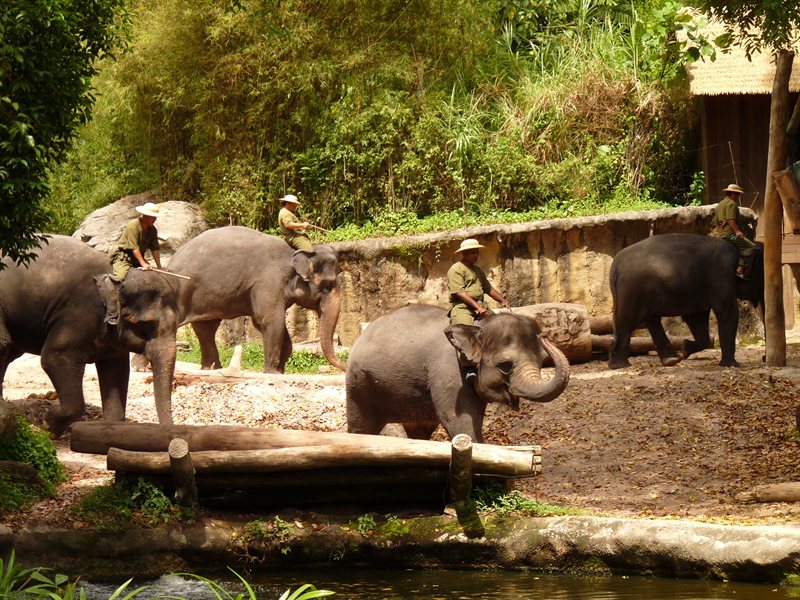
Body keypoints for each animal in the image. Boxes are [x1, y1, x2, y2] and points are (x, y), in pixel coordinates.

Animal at [164, 226, 344, 373]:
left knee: (206, 328)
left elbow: (266, 324)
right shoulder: (268, 283)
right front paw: (272, 372)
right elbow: (271, 321)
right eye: (328, 285)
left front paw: (280, 371)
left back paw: (212, 369)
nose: (343, 367)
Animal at [345, 304, 570, 442]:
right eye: (505, 365)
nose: (544, 336)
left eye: (541, 361)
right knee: (362, 429)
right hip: (359, 383)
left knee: (420, 429)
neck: (477, 327)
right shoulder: (450, 374)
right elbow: (459, 421)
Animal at [607, 233, 764, 369]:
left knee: (650, 319)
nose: (763, 358)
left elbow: (696, 317)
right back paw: (620, 365)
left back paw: (671, 360)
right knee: (628, 321)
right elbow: (728, 312)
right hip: (634, 289)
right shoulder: (722, 278)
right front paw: (732, 365)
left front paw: (685, 348)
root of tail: (615, 265)